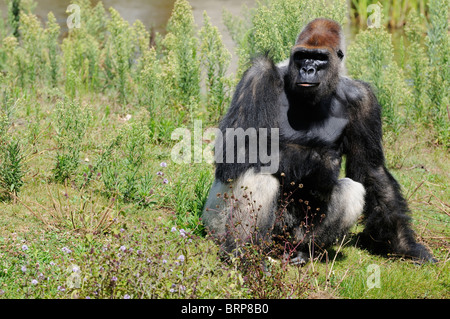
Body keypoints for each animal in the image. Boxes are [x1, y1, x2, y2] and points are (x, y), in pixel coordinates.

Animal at [202, 18, 434, 266]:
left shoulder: (364, 99)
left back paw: (303, 251)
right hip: (215, 221)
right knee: (258, 175)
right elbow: (236, 148)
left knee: (352, 190)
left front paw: (403, 245)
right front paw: (319, 161)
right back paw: (244, 255)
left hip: (289, 237)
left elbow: (372, 171)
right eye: (302, 56)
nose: (308, 69)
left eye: (320, 58)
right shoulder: (258, 75)